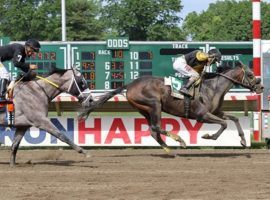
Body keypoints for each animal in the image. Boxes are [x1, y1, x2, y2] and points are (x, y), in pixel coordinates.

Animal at [80, 62, 264, 153]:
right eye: (250, 74)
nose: (260, 87)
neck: (213, 87)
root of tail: (130, 84)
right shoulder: (202, 115)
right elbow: (224, 124)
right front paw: (208, 136)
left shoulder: (216, 112)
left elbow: (233, 119)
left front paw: (243, 140)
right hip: (154, 104)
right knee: (156, 127)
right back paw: (179, 141)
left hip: (144, 109)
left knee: (153, 130)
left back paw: (169, 149)